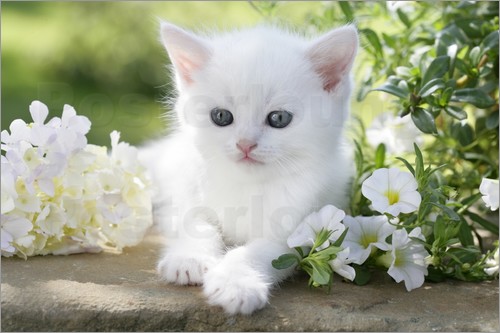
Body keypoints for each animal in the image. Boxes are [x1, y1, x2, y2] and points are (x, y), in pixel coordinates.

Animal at [140, 22, 360, 312]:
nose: (245, 144)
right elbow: (196, 223)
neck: (247, 185)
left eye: (279, 118)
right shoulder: (187, 191)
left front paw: (236, 284)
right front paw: (190, 259)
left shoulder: (296, 233)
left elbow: (256, 251)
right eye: (221, 116)